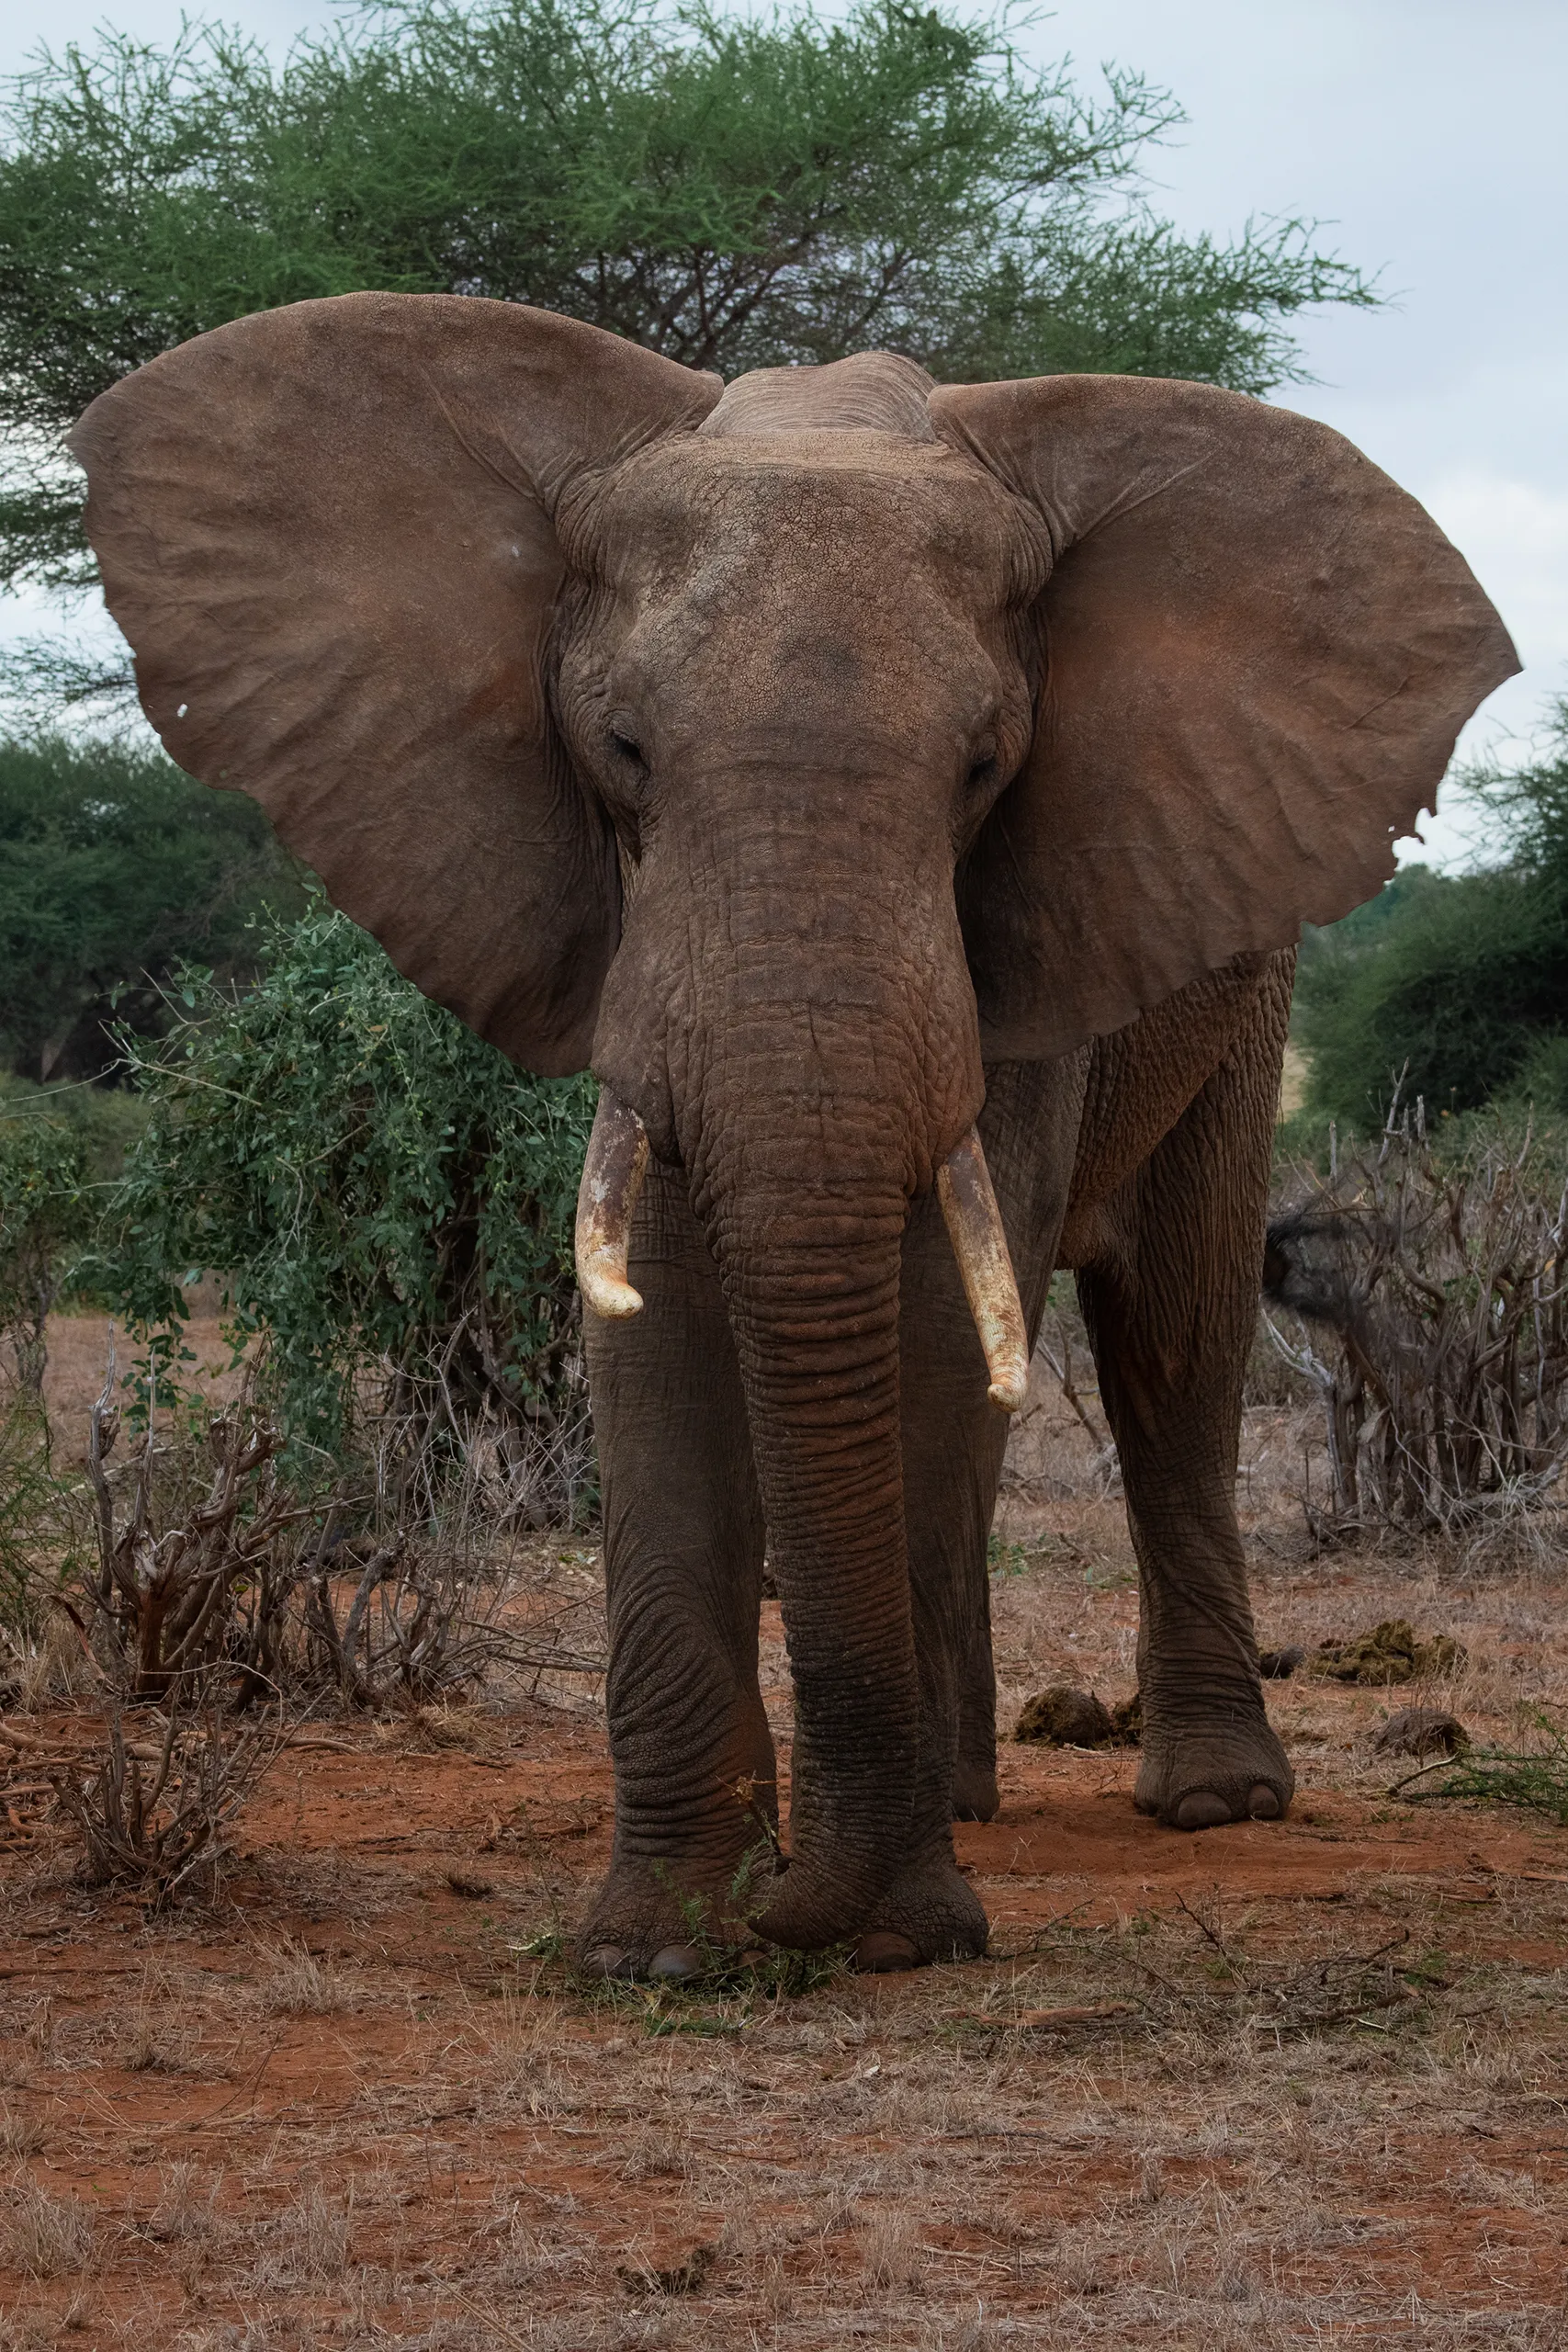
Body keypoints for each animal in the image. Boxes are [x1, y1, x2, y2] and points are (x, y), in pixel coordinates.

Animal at [70, 294, 1516, 1976]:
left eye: (985, 766)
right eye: (621, 748)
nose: (801, 1911)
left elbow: (944, 1319)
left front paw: (876, 1928)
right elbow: (647, 1307)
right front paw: (663, 1941)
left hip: (1241, 981)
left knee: (1173, 1339)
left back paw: (1188, 1801)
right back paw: (957, 1795)